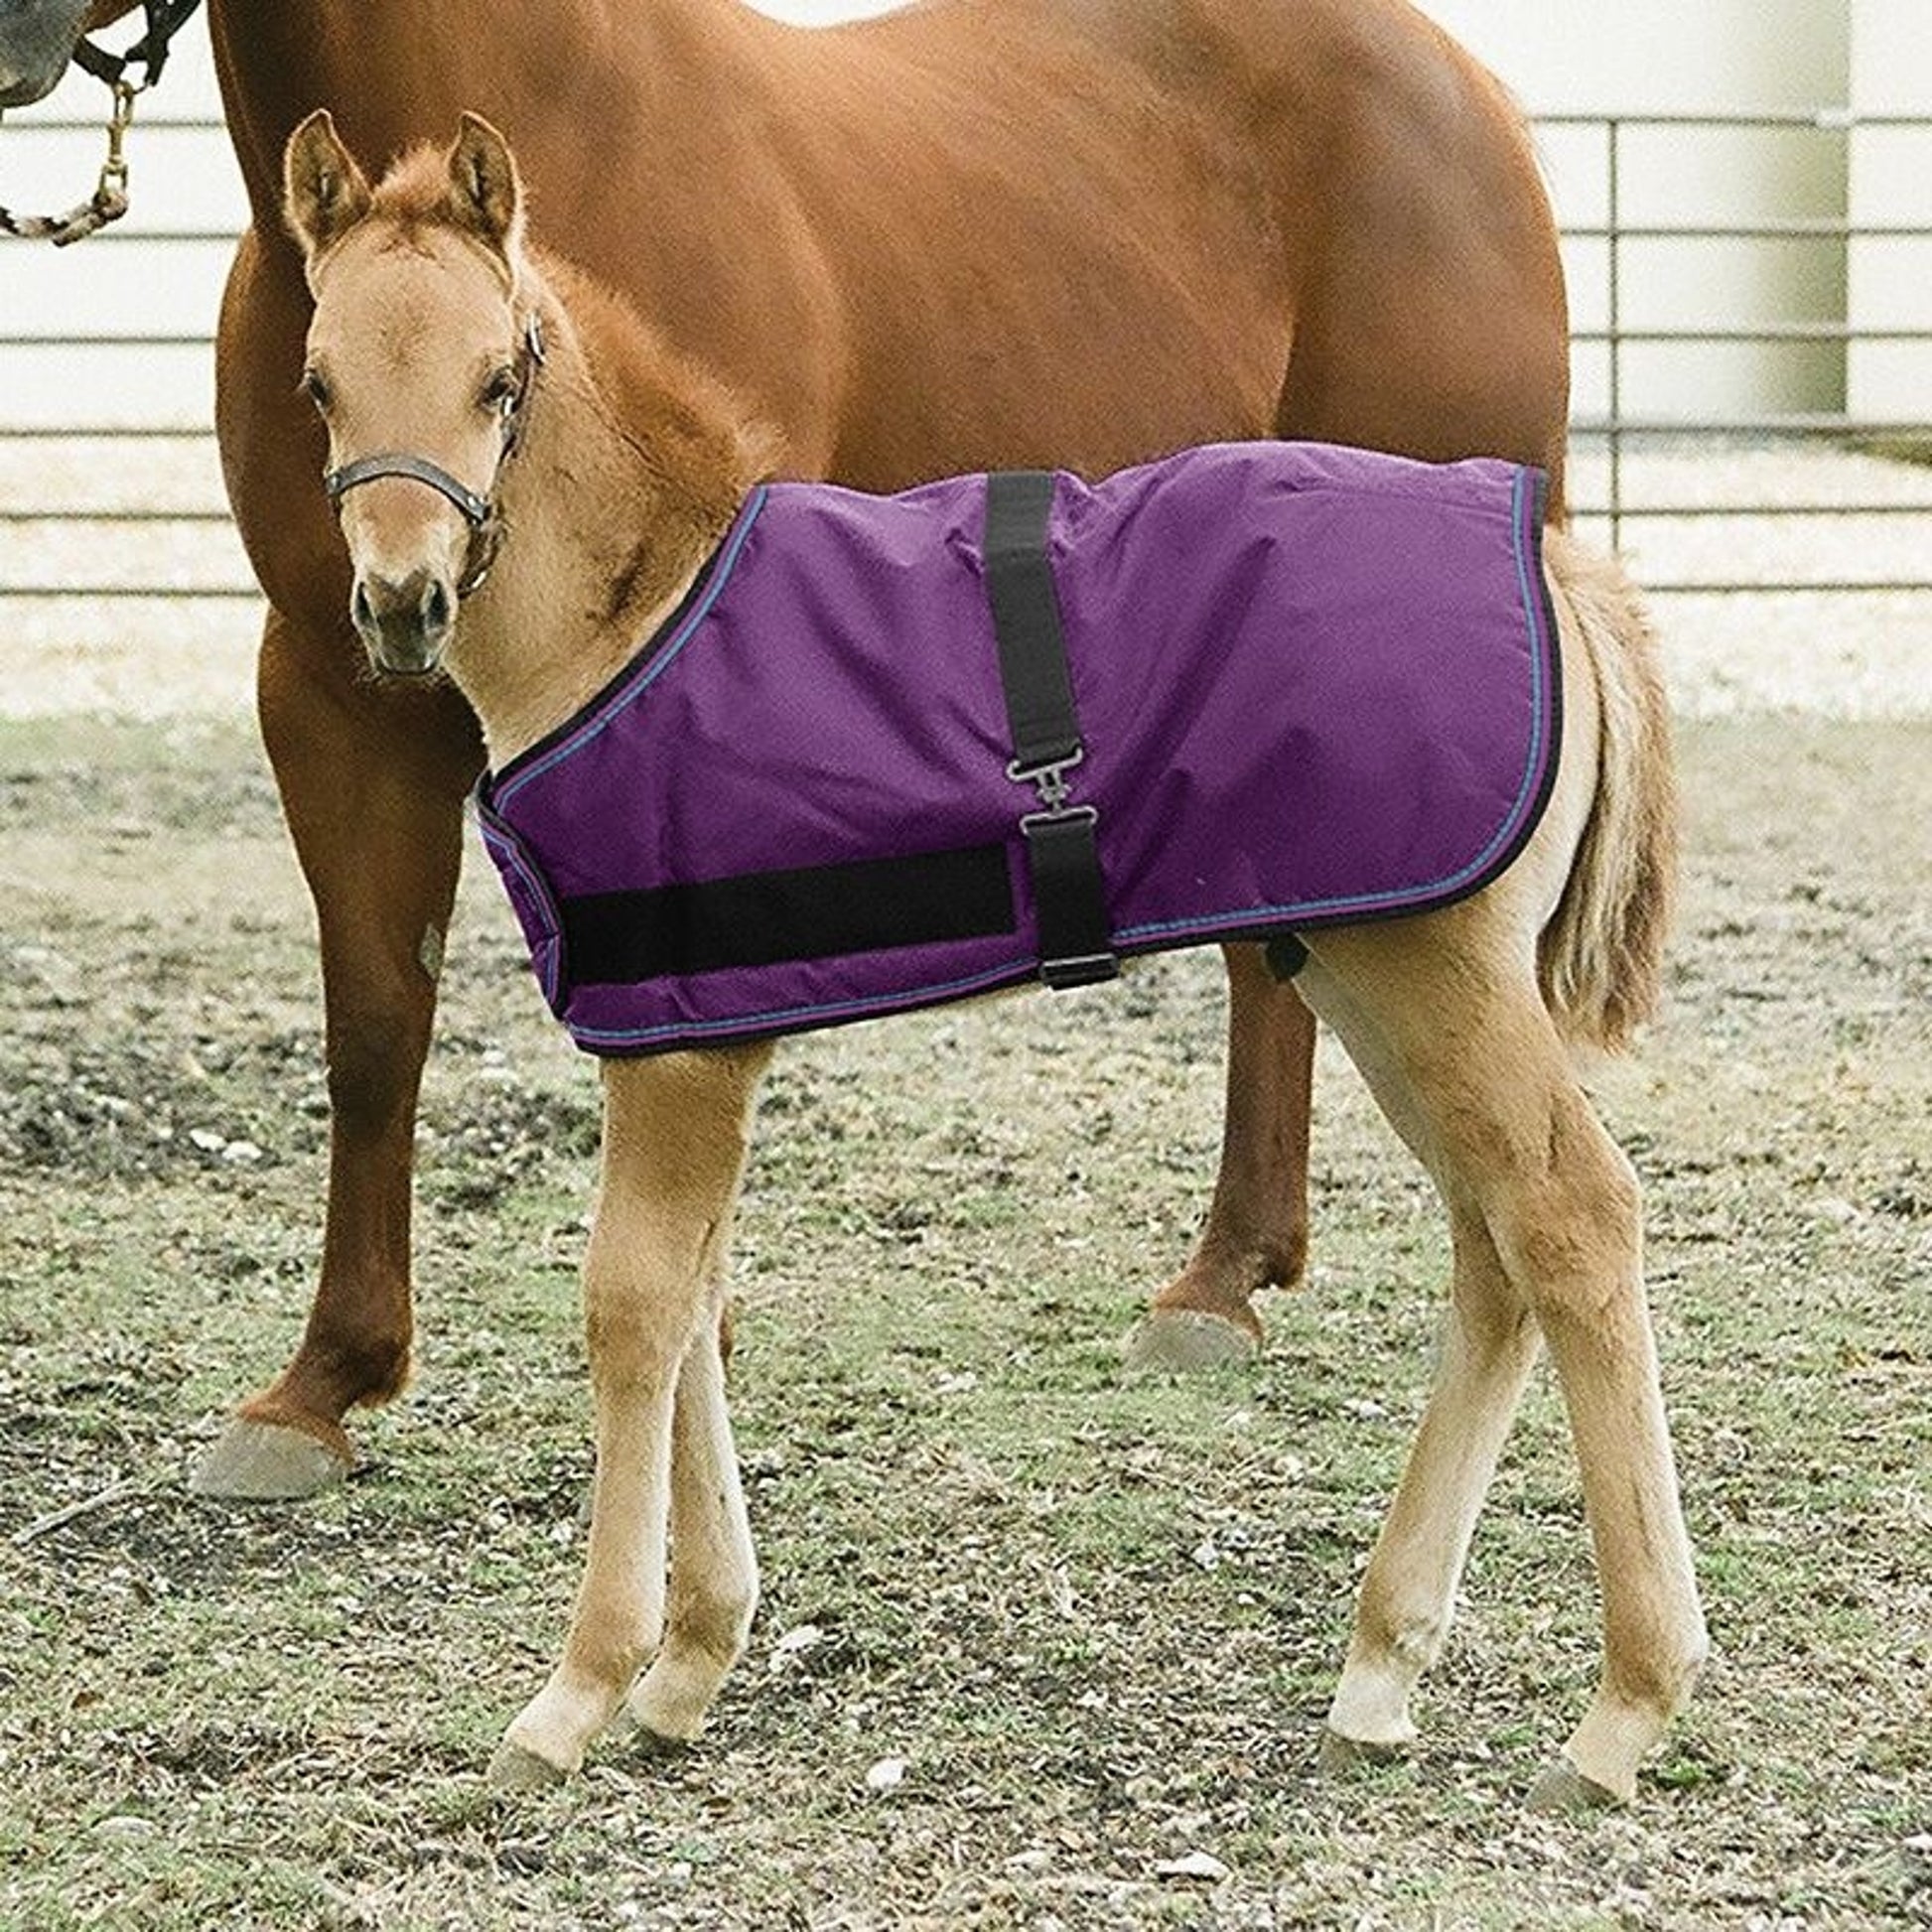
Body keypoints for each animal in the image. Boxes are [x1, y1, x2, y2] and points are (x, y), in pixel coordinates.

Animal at [2, 0, 1571, 1499]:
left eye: (502, 380)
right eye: (318, 385)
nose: (20, 33)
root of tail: (1469, 97)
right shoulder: (335, 697)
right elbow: (377, 1027)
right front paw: (324, 1380)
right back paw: (1230, 1269)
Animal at [285, 108, 1701, 1810]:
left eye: (501, 378)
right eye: (317, 380)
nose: (402, 604)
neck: (638, 612)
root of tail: (1557, 565)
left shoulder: (679, 1049)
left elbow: (632, 1305)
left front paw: (578, 1689)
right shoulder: (691, 1032)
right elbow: (698, 1298)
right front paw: (693, 1660)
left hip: (1438, 974)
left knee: (1570, 1215)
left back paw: (1622, 1710)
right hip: (1374, 969)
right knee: (1495, 1241)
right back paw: (1380, 1667)